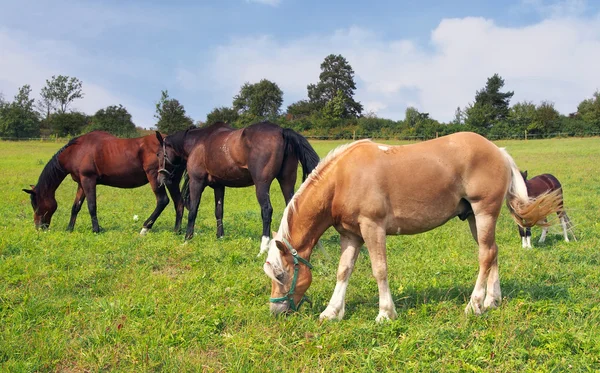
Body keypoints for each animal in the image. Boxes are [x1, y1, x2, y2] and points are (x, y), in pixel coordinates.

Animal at [22, 132, 185, 232]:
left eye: (35, 204)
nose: (39, 227)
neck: (76, 151)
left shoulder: (88, 180)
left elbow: (91, 206)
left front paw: (96, 229)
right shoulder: (81, 183)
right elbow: (76, 207)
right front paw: (69, 229)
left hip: (155, 178)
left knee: (162, 201)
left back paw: (145, 228)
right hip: (171, 181)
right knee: (179, 202)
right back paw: (176, 230)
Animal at [157, 120, 322, 248]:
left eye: (158, 154)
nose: (160, 178)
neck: (199, 142)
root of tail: (282, 131)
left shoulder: (196, 182)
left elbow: (193, 210)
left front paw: (187, 239)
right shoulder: (219, 186)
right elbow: (219, 211)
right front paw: (220, 237)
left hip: (262, 185)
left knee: (267, 210)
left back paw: (264, 246)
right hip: (287, 181)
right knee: (292, 208)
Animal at [262, 132, 564, 322]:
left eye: (280, 275)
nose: (275, 312)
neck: (343, 179)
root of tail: (498, 151)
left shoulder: (373, 228)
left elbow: (379, 269)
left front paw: (385, 313)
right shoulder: (350, 235)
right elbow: (343, 271)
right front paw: (332, 312)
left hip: (484, 212)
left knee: (486, 255)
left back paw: (474, 304)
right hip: (474, 218)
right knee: (493, 252)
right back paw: (492, 301)